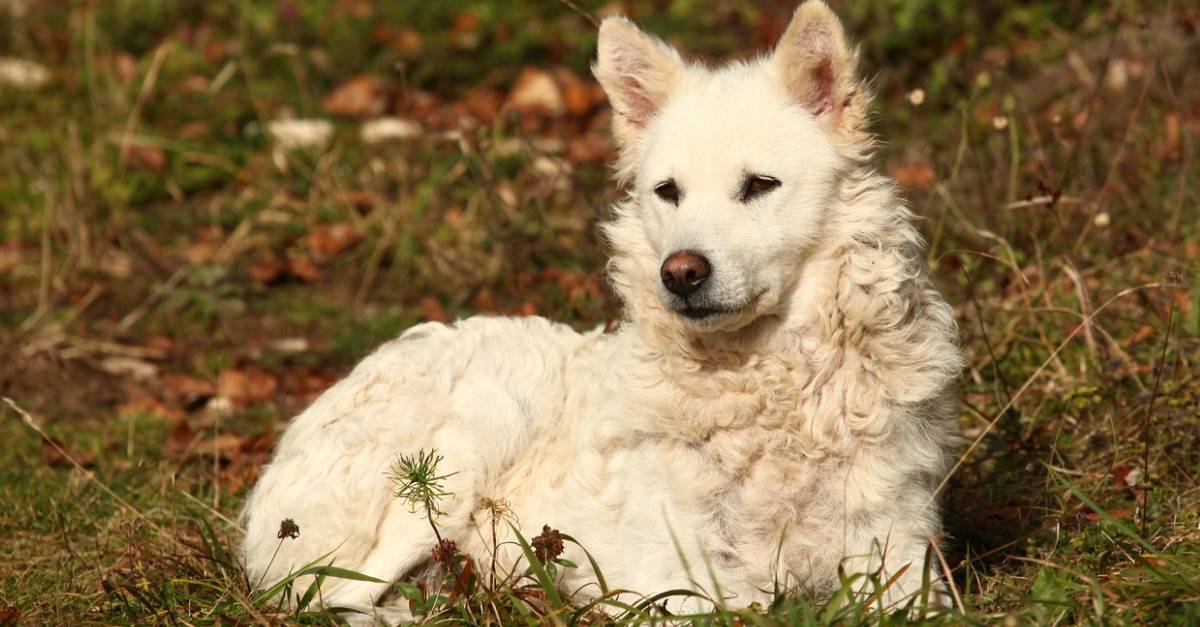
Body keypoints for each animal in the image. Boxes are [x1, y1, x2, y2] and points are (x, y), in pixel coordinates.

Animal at [243, 0, 964, 614]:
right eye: (668, 191)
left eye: (760, 185)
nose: (681, 273)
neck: (773, 389)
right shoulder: (674, 580)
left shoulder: (899, 557)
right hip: (468, 444)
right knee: (330, 597)